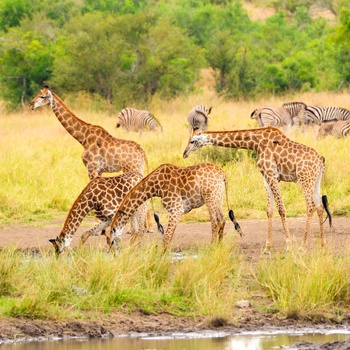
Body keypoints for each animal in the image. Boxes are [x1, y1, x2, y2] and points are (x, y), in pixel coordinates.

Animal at [102, 163, 242, 253]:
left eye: (112, 242)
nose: (114, 254)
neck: (155, 186)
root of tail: (223, 174)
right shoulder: (175, 210)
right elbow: (168, 236)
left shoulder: (176, 209)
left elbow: (166, 238)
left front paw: (160, 257)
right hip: (218, 197)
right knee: (222, 219)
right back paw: (219, 246)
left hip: (210, 197)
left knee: (215, 221)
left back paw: (212, 247)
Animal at [182, 127, 332, 250]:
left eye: (192, 141)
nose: (184, 154)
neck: (255, 143)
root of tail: (321, 160)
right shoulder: (266, 177)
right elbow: (269, 210)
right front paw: (267, 246)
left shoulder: (271, 174)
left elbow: (281, 208)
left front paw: (289, 244)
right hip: (315, 181)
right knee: (319, 206)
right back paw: (323, 243)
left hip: (304, 179)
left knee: (310, 206)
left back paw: (302, 245)